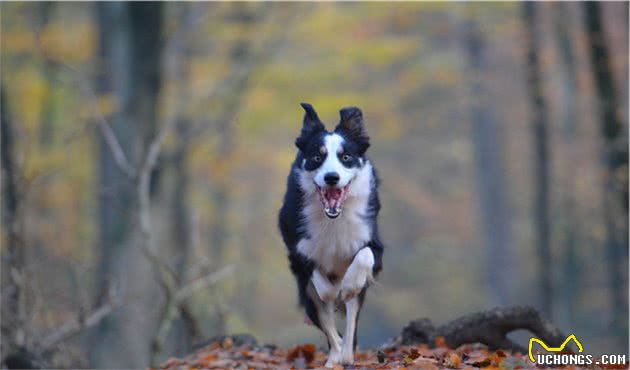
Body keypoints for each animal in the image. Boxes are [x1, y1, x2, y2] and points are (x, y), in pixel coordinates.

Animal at [280, 103, 386, 368]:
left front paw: (347, 285)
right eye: (317, 158)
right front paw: (331, 290)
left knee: (349, 328)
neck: (333, 218)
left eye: (345, 157)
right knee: (331, 330)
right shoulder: (297, 249)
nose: (331, 177)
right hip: (306, 295)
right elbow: (321, 284)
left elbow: (364, 256)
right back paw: (334, 359)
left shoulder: (372, 241)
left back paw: (346, 355)